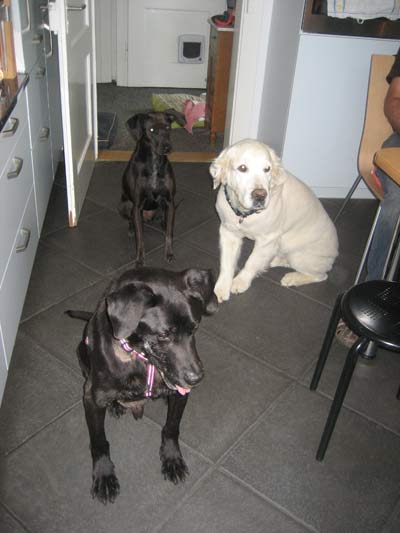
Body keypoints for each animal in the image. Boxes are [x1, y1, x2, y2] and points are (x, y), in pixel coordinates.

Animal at [66, 266, 218, 504]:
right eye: (164, 334)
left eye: (195, 327)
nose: (196, 378)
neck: (141, 359)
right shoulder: (92, 399)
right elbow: (99, 442)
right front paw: (104, 475)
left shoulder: (180, 395)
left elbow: (171, 428)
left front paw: (172, 459)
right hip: (81, 356)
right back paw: (116, 406)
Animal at [118, 110, 186, 266]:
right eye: (151, 130)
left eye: (168, 127)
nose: (167, 147)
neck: (154, 161)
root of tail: (148, 217)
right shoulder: (137, 205)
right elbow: (140, 238)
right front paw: (139, 258)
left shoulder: (169, 201)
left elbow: (169, 234)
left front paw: (169, 253)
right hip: (125, 206)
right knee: (131, 220)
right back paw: (131, 229)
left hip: (164, 207)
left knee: (164, 219)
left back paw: (164, 223)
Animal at [210, 139, 338, 302]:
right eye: (242, 168)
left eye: (267, 169)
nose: (260, 196)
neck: (244, 214)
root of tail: (334, 255)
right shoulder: (229, 233)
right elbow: (227, 262)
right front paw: (222, 287)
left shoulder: (267, 240)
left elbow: (252, 262)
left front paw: (240, 282)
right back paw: (275, 260)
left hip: (300, 256)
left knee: (321, 276)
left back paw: (292, 278)